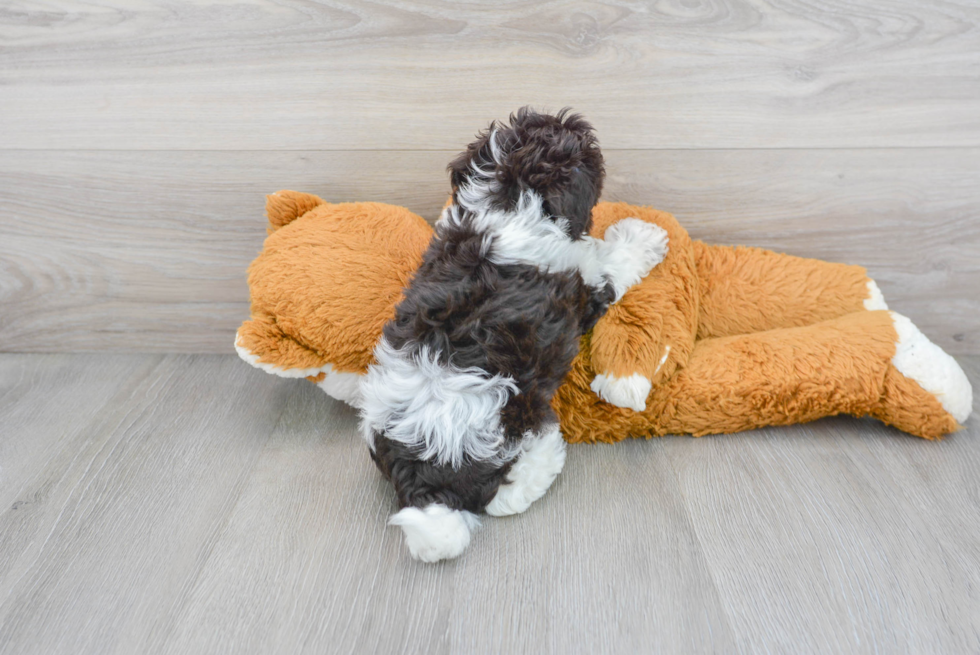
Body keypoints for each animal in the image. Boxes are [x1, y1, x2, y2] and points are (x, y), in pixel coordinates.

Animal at [358, 109, 668, 564]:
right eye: (586, 155)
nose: (582, 125)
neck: (505, 201)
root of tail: (420, 472)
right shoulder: (582, 285)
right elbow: (612, 262)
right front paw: (643, 237)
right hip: (509, 424)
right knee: (503, 493)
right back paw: (546, 460)